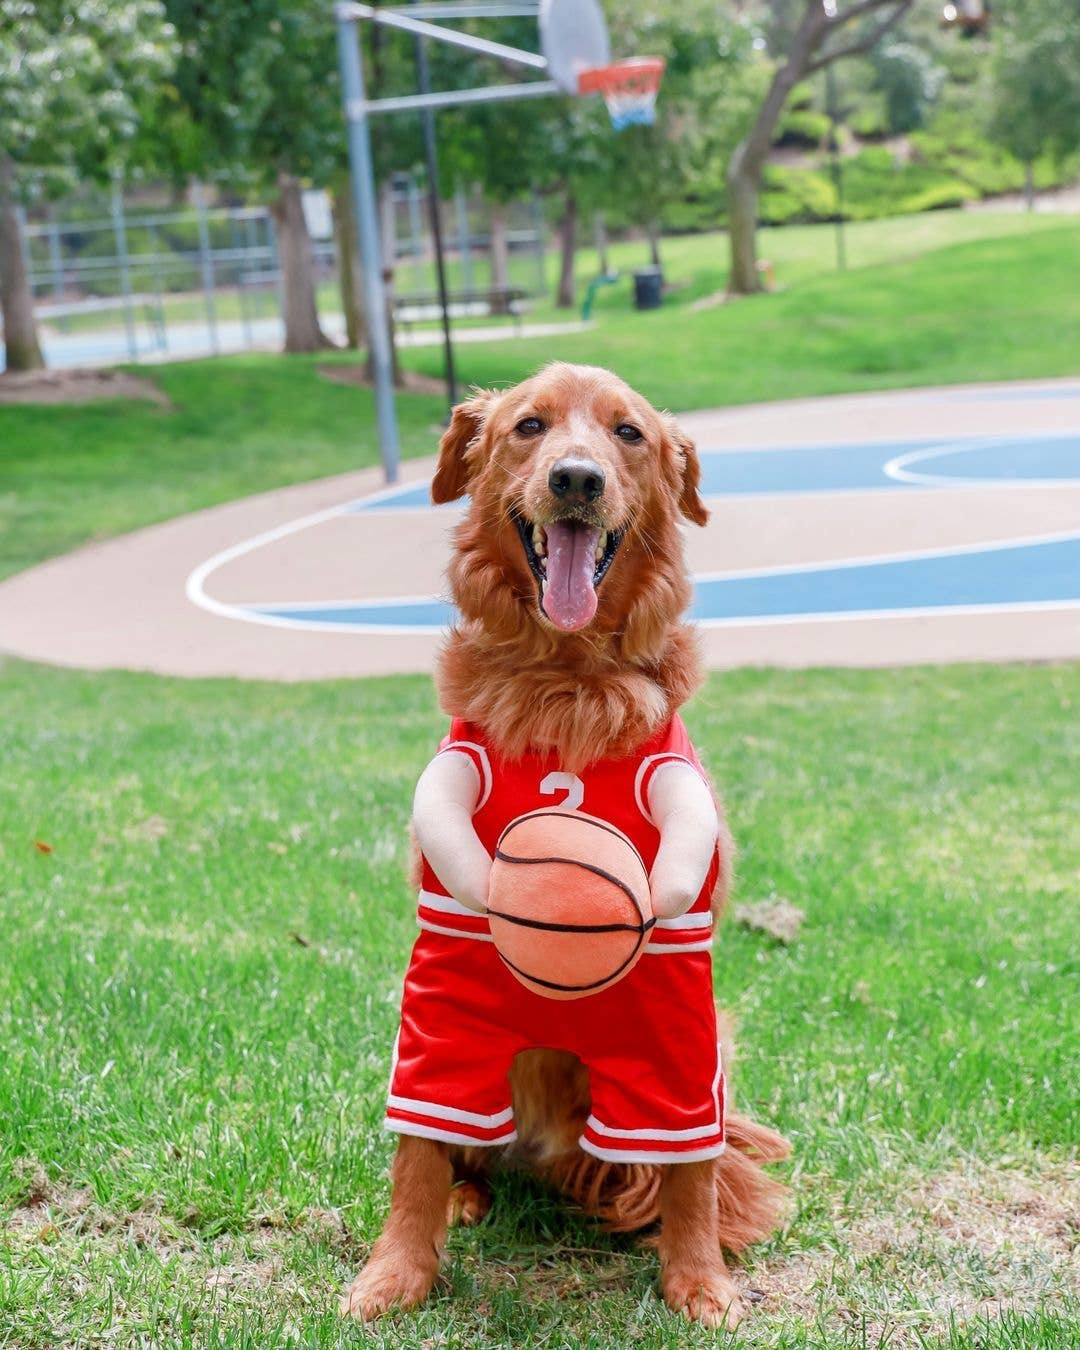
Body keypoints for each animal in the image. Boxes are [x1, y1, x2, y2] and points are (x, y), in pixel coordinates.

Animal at [341, 359, 788, 1328]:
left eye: (628, 434)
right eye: (529, 426)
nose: (575, 479)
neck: (567, 681)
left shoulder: (677, 1003)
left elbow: (692, 1168)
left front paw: (699, 1280)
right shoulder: (442, 983)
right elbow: (415, 1153)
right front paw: (395, 1274)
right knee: (460, 1150)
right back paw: (467, 1199)